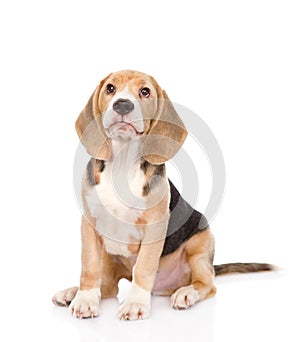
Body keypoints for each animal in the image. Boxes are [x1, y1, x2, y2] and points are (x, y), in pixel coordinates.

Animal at [52, 70, 274, 320]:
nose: (123, 104)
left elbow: (144, 266)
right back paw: (72, 292)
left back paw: (187, 293)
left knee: (207, 284)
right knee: (107, 286)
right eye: (110, 88)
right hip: (110, 257)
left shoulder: (155, 226)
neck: (122, 164)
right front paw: (85, 300)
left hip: (201, 244)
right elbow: (89, 267)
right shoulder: (89, 224)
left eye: (145, 91)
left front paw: (136, 303)